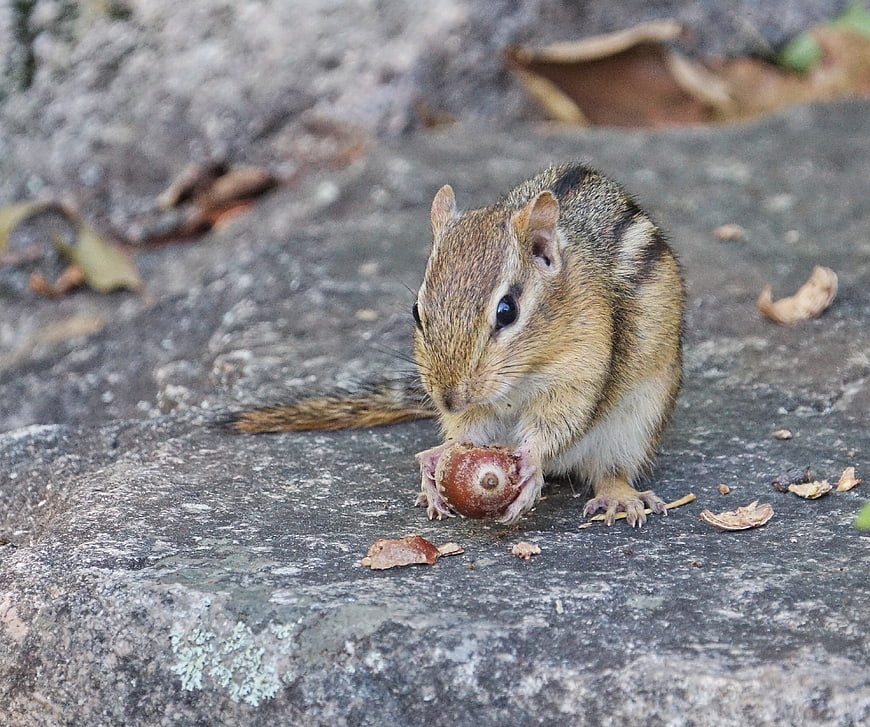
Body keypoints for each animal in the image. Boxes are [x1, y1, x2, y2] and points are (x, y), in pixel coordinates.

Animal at [230, 163, 684, 526]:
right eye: (416, 311)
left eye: (507, 311)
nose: (448, 400)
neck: (519, 379)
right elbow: (466, 430)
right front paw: (438, 457)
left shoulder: (579, 370)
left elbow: (558, 425)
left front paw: (531, 461)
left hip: (636, 424)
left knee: (610, 469)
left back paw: (619, 498)